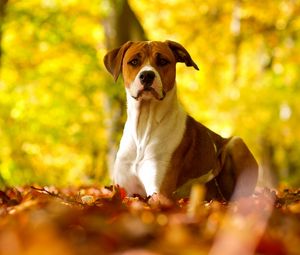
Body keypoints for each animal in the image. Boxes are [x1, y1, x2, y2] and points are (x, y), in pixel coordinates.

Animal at [103, 40, 258, 201]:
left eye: (163, 61)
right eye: (134, 61)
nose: (147, 75)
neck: (144, 125)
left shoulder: (159, 191)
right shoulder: (123, 189)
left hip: (237, 143)